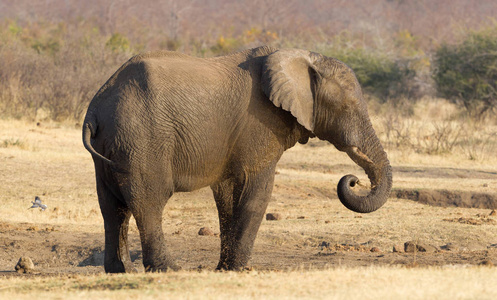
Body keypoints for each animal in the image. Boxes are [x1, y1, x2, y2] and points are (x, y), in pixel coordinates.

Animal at [81, 45, 392, 274]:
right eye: (348, 106)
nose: (353, 181)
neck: (298, 57)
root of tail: (95, 108)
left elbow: (228, 195)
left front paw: (224, 269)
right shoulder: (260, 125)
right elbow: (256, 191)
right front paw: (239, 269)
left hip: (114, 146)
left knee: (112, 207)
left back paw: (121, 271)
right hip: (141, 139)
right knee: (149, 202)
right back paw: (168, 269)